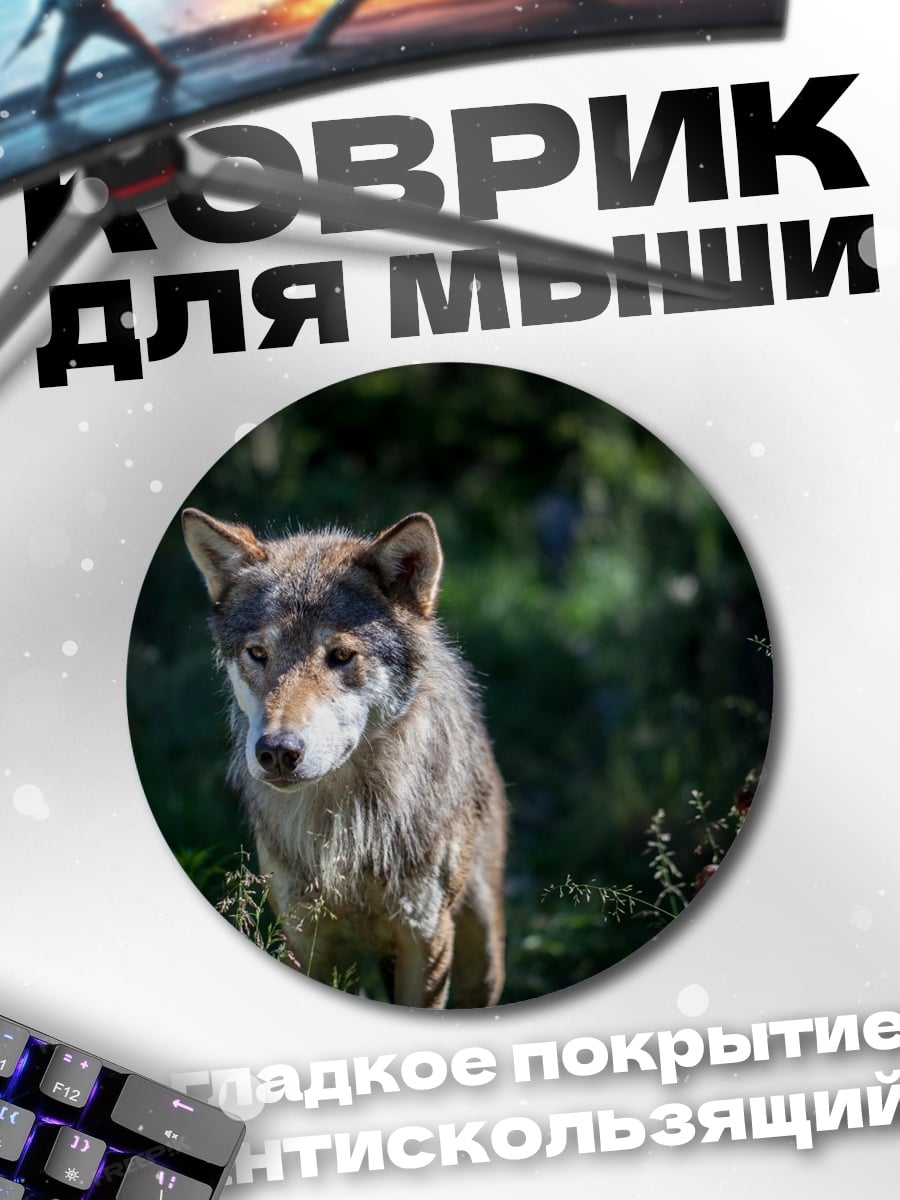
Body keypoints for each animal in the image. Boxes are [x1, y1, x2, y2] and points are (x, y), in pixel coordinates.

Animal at [182, 507, 507, 1009]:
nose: (277, 752)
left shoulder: (425, 937)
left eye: (340, 655)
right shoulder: (306, 937)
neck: (351, 824)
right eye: (258, 653)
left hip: (482, 954)